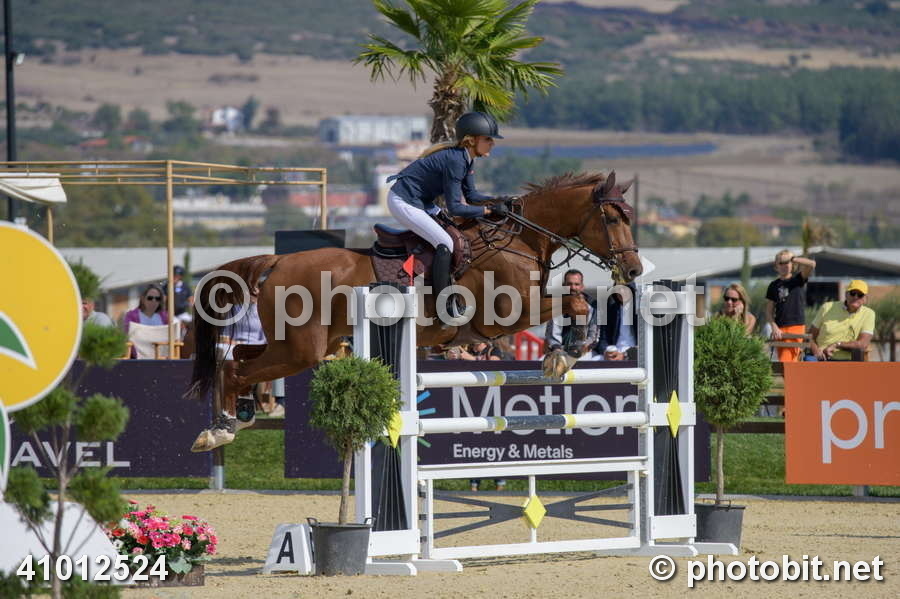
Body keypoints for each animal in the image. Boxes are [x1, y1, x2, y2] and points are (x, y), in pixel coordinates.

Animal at [185, 171, 642, 451]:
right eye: (612, 218)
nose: (635, 270)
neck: (521, 239)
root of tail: (277, 260)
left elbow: (575, 302)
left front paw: (568, 350)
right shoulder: (506, 315)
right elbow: (574, 300)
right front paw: (566, 353)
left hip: (300, 344)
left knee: (237, 358)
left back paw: (238, 417)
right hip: (302, 349)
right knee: (238, 368)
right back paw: (219, 430)